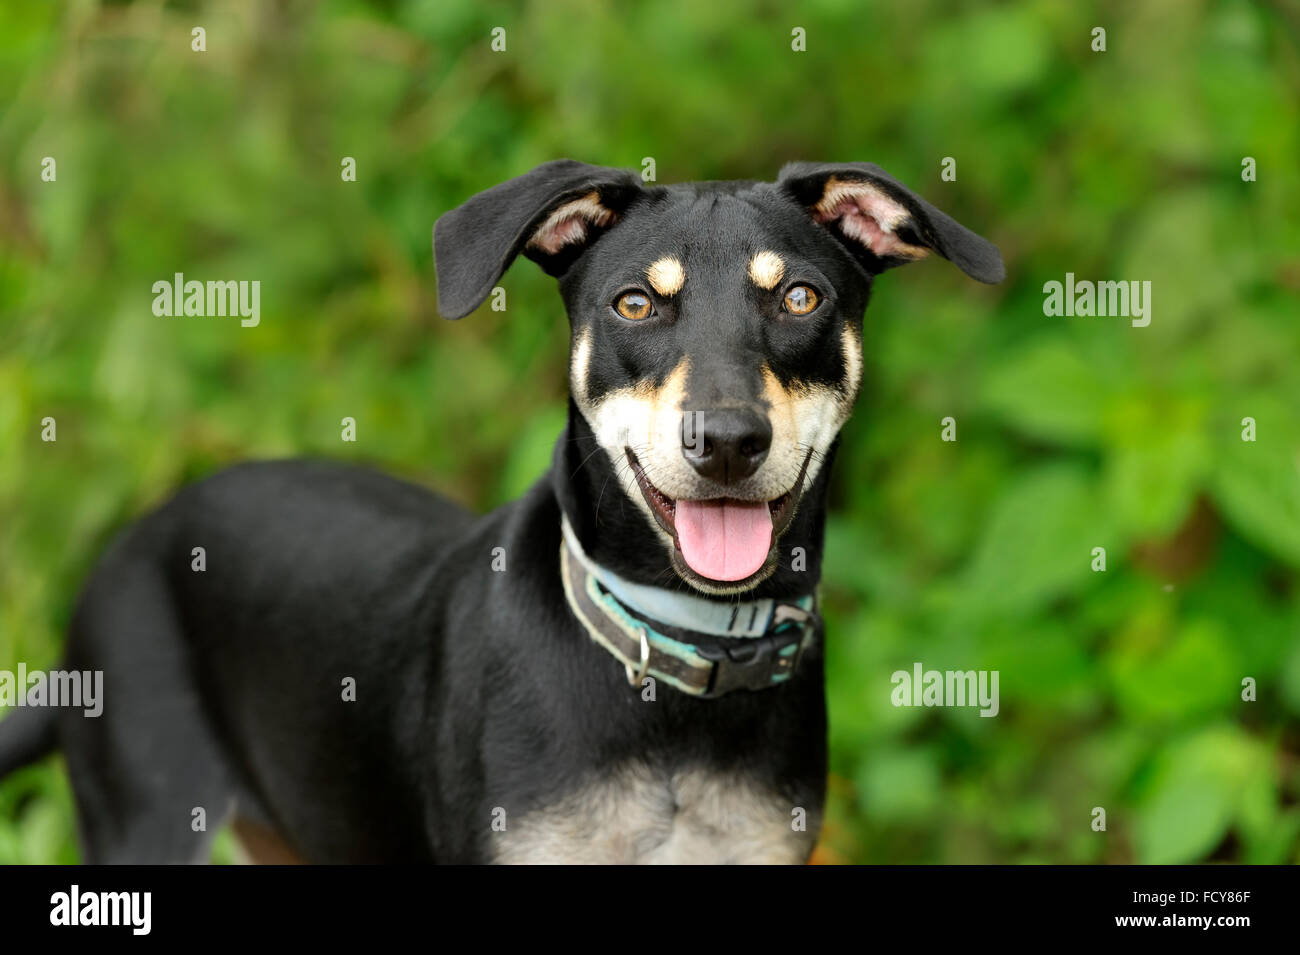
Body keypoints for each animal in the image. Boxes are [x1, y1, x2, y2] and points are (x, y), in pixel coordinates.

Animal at [0, 160, 1003, 862]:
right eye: (634, 302)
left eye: (800, 296)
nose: (725, 440)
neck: (674, 667)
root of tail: (133, 539)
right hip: (148, 815)